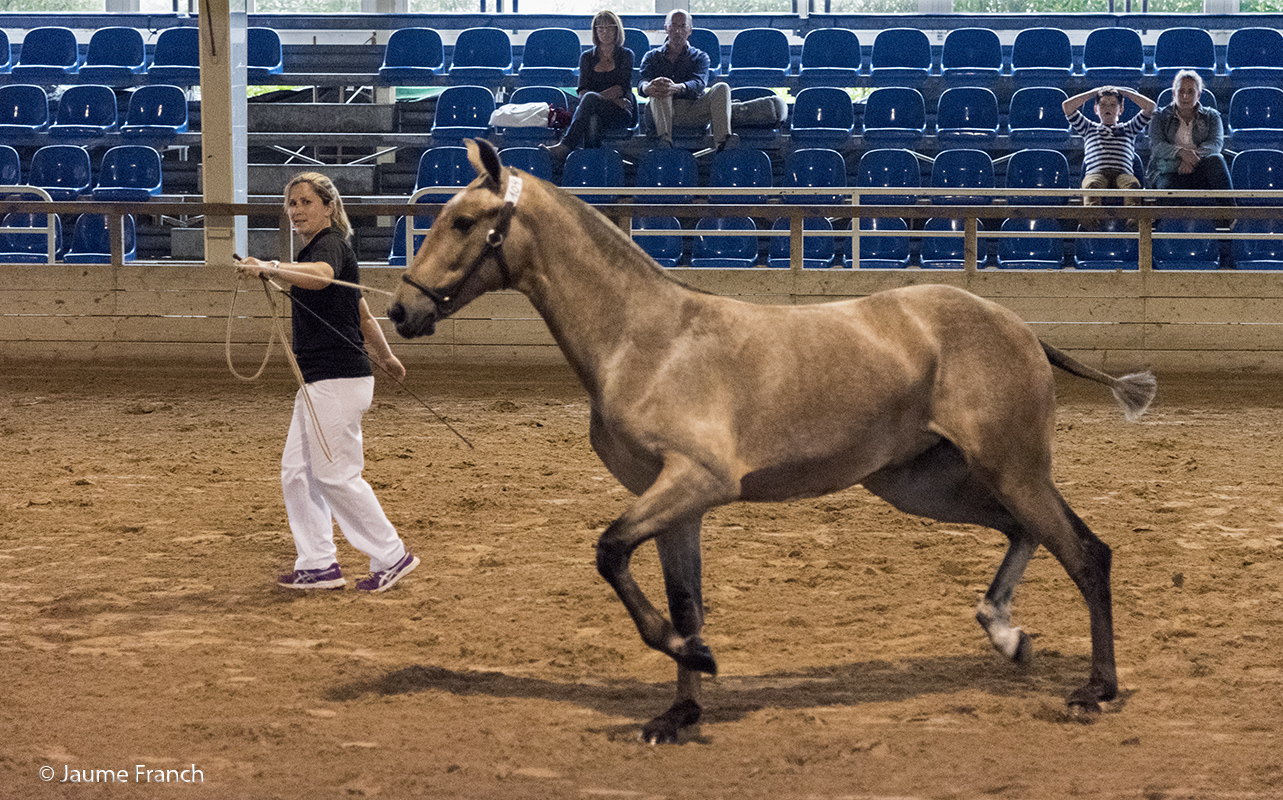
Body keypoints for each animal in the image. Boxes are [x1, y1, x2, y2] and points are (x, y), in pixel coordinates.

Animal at [384, 140, 1159, 748]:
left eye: (463, 220)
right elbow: (683, 599)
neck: (644, 340)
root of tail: (1022, 330)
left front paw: (697, 659)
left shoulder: (697, 482)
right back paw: (1004, 631)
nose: (401, 309)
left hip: (1009, 466)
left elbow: (609, 553)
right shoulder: (674, 504)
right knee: (1025, 532)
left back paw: (1095, 688)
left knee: (1085, 553)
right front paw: (680, 709)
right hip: (923, 484)